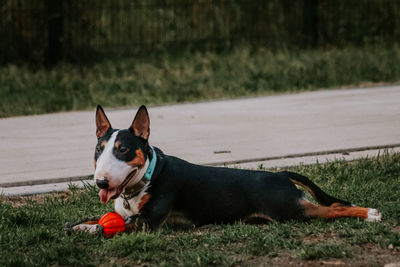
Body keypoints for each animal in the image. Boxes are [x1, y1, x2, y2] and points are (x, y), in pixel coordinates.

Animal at [70, 105, 382, 236]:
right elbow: (96, 217)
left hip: (292, 210)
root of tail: (281, 174)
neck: (148, 176)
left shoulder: (149, 221)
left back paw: (370, 213)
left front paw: (93, 229)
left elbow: (119, 225)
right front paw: (81, 225)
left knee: (332, 210)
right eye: (98, 149)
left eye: (123, 149)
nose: (101, 183)